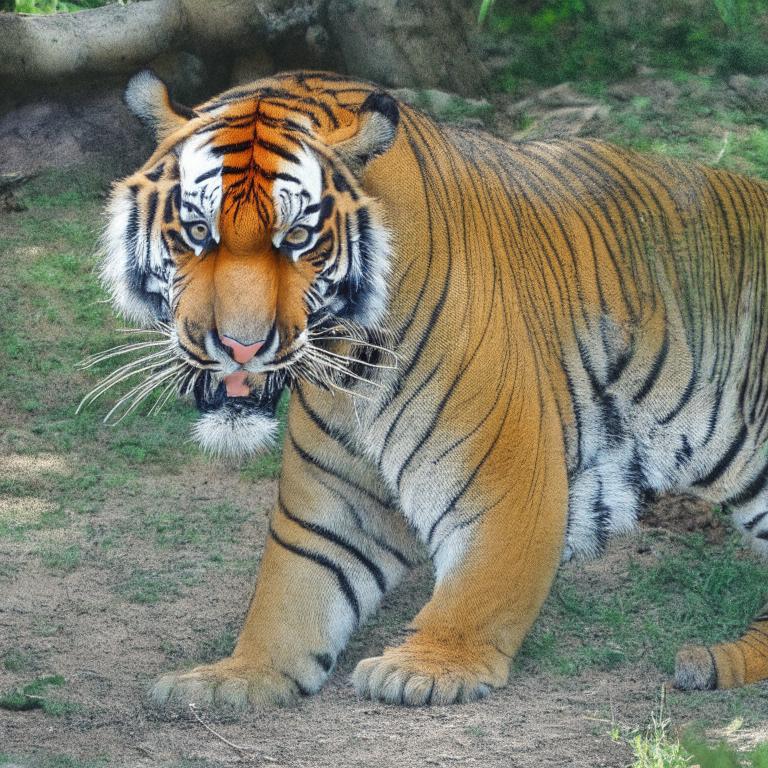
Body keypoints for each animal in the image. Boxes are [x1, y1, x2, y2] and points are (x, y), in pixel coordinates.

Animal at [90, 68, 768, 708]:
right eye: (197, 232)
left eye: (297, 238)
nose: (240, 344)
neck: (349, 370)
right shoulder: (334, 503)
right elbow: (287, 596)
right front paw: (232, 678)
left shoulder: (508, 479)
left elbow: (480, 587)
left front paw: (425, 667)